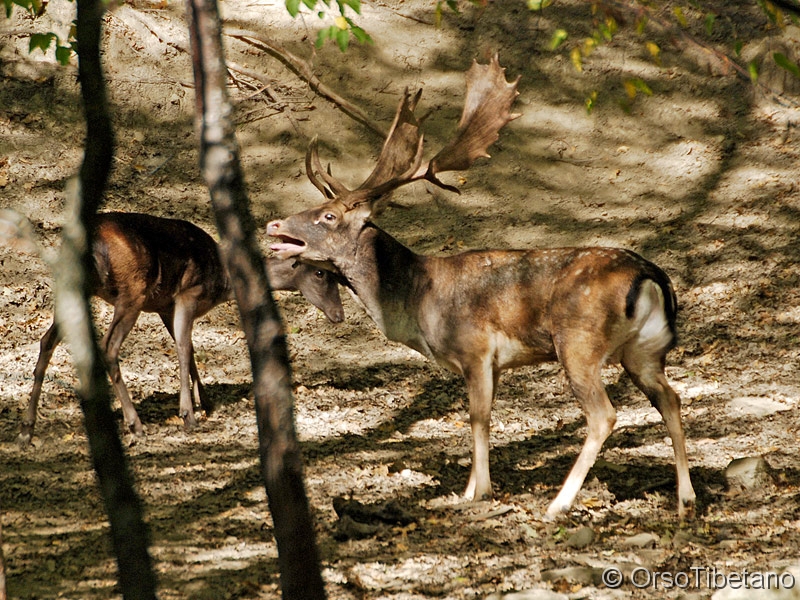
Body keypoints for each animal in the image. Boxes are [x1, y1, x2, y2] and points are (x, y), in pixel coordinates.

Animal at [18, 211, 344, 446]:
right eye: (321, 273)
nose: (339, 315)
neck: (223, 281)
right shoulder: (188, 292)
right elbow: (185, 348)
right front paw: (189, 414)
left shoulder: (165, 305)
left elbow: (188, 348)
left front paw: (206, 402)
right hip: (132, 291)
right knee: (109, 347)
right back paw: (136, 424)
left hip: (77, 286)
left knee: (46, 340)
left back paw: (27, 430)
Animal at [268, 56, 692, 520]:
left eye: (327, 216)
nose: (274, 223)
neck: (418, 298)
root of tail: (652, 277)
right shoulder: (495, 364)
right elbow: (484, 417)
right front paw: (469, 488)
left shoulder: (474, 349)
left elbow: (478, 419)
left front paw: (479, 493)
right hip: (644, 350)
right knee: (671, 399)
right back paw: (686, 498)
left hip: (579, 342)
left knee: (604, 415)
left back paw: (558, 503)